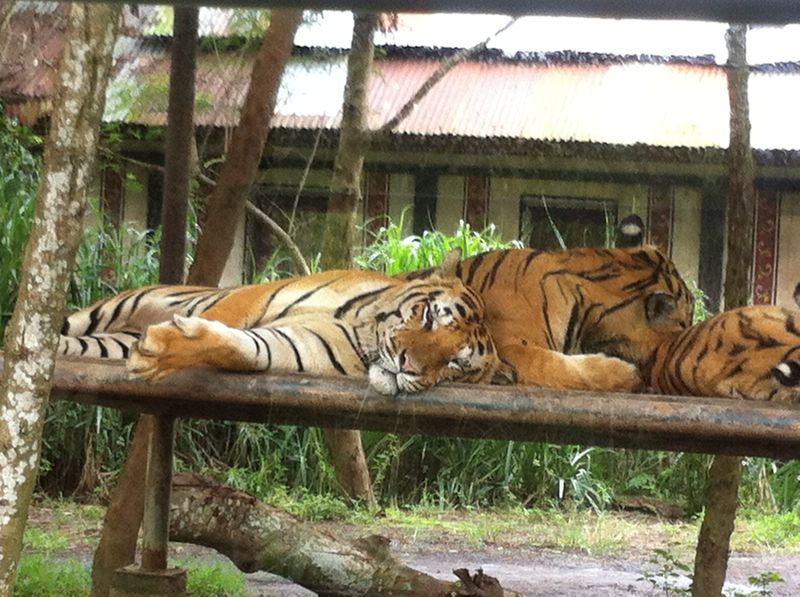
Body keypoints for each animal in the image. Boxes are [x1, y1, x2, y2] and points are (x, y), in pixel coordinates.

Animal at [58, 250, 516, 396]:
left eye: (455, 364)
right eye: (430, 316)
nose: (408, 364)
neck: (362, 330)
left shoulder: (300, 344)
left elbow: (248, 349)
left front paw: (162, 352)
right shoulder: (255, 294)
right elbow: (219, 316)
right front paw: (168, 341)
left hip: (111, 340)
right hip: (110, 308)